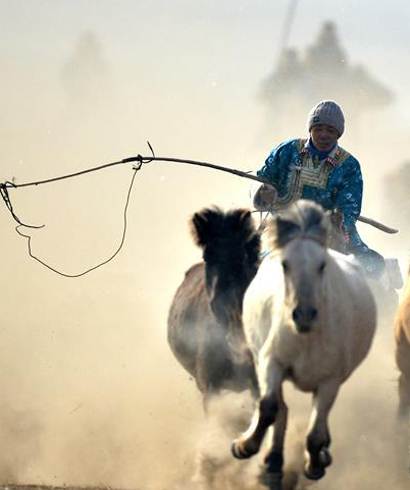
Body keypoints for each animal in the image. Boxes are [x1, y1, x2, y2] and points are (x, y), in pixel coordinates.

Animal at [232, 200, 376, 490]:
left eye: (323, 265)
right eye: (285, 264)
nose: (304, 314)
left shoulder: (330, 381)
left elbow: (315, 433)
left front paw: (315, 464)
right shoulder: (271, 362)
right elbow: (269, 407)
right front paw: (245, 446)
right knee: (280, 408)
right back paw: (272, 463)